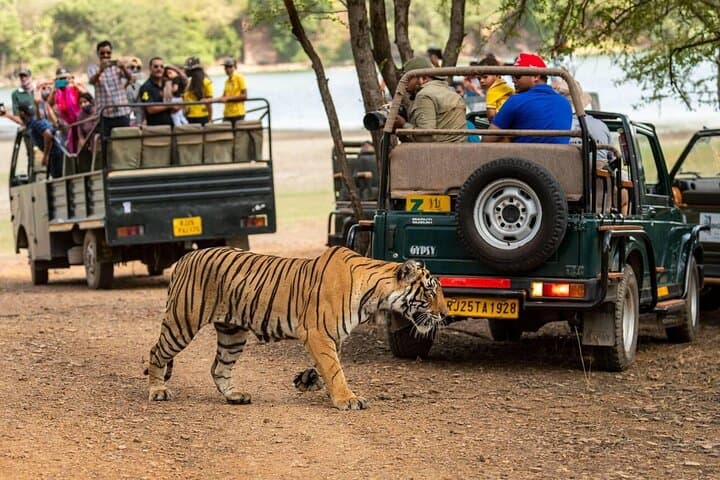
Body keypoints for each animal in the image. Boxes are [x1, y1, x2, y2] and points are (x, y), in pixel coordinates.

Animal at [146, 246, 448, 410]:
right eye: (430, 291)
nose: (445, 315)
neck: (375, 295)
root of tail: (186, 257)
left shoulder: (332, 336)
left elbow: (328, 365)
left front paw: (308, 380)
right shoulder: (317, 333)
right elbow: (335, 368)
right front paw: (347, 399)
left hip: (233, 333)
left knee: (218, 367)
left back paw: (235, 396)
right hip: (182, 322)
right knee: (156, 352)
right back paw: (157, 391)